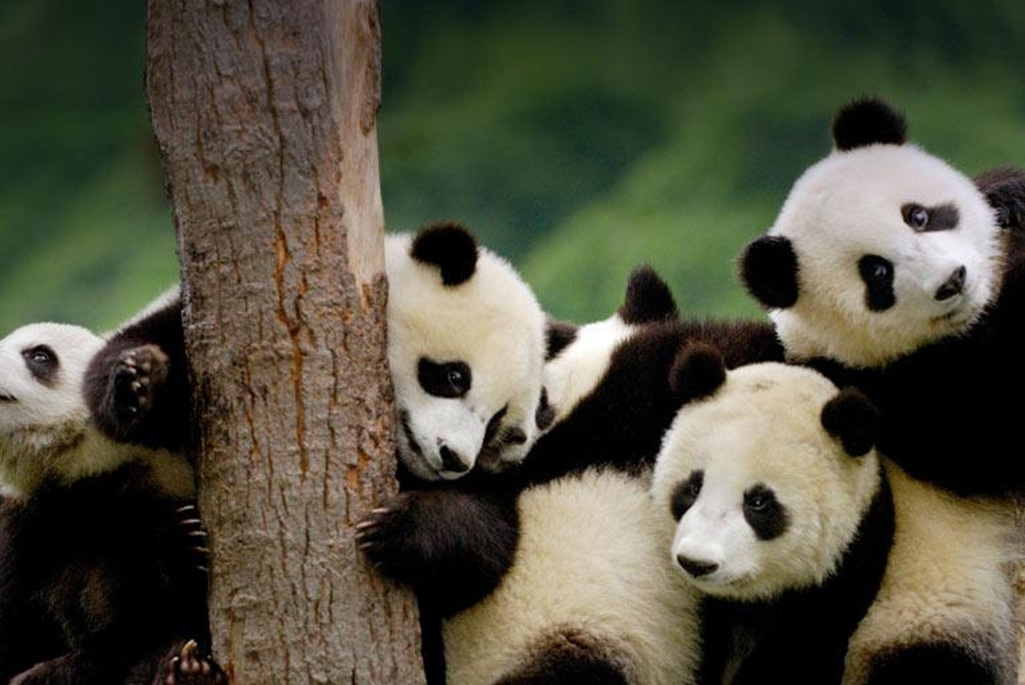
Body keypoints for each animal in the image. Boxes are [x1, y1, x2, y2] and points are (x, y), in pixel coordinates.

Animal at [739, 97, 1024, 684]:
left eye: (918, 215)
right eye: (876, 273)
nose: (953, 280)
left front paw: (1009, 200)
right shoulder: (886, 392)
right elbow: (992, 428)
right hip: (927, 609)